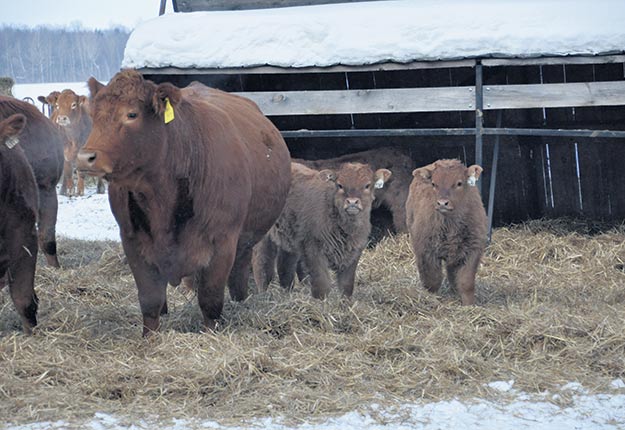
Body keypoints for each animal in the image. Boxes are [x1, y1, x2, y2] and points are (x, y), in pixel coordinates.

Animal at [75, 69, 290, 336]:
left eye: (132, 114)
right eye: (94, 116)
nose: (85, 157)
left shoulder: (222, 242)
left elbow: (210, 300)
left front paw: (210, 335)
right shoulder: (132, 241)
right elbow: (150, 300)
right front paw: (150, 338)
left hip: (246, 241)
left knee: (238, 275)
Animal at [252, 161, 390, 298]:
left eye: (367, 185)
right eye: (340, 185)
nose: (352, 202)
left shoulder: (354, 253)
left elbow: (347, 285)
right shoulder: (313, 249)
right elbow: (322, 284)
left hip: (289, 237)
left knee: (285, 265)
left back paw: (287, 293)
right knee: (262, 263)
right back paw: (263, 293)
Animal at [404, 159, 488, 306]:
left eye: (459, 183)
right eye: (433, 184)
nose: (442, 203)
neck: (450, 226)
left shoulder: (472, 250)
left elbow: (466, 282)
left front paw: (469, 305)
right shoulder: (426, 251)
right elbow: (433, 280)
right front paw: (431, 298)